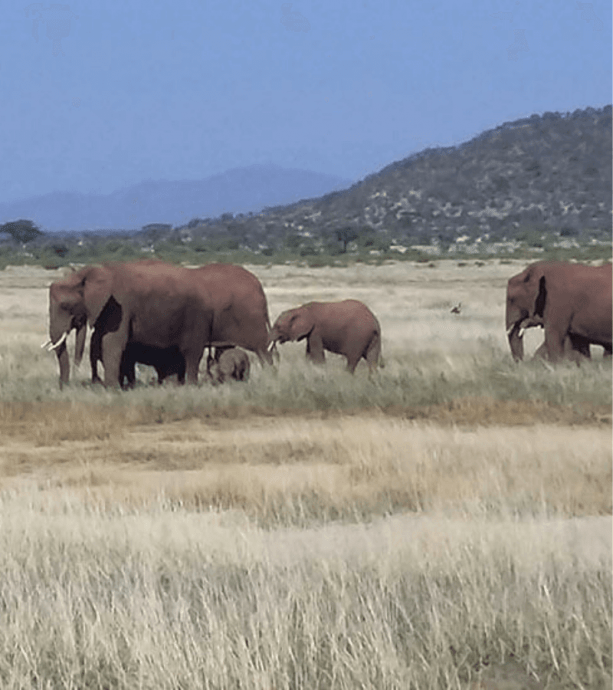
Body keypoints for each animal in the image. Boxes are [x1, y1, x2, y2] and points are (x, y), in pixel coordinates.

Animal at [46, 261, 214, 388]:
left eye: (65, 306)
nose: (65, 386)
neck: (86, 274)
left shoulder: (119, 307)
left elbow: (112, 343)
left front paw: (112, 390)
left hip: (197, 315)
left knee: (191, 352)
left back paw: (189, 387)